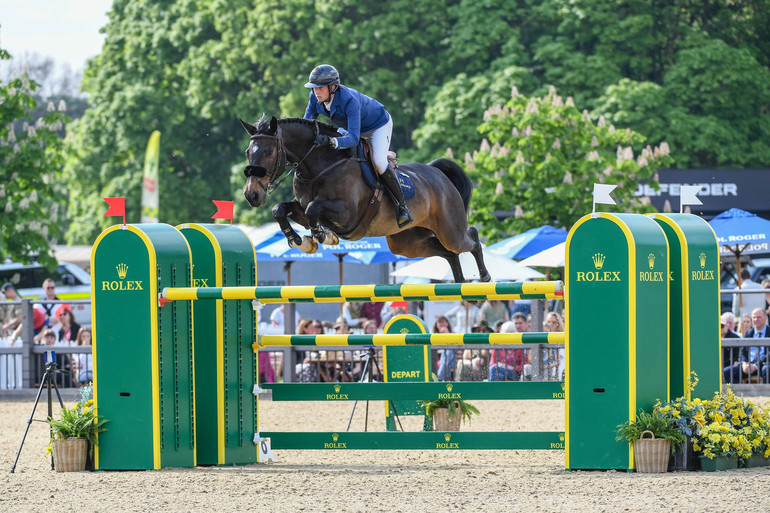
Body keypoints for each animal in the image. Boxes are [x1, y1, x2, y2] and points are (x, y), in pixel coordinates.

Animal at [240, 114, 488, 282]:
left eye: (269, 152)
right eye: (248, 152)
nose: (252, 195)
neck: (320, 166)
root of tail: (437, 173)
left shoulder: (346, 214)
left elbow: (313, 209)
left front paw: (322, 236)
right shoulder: (301, 207)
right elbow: (280, 209)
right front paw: (300, 241)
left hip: (449, 229)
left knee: (470, 239)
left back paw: (484, 277)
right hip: (408, 243)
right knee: (448, 252)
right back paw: (460, 283)